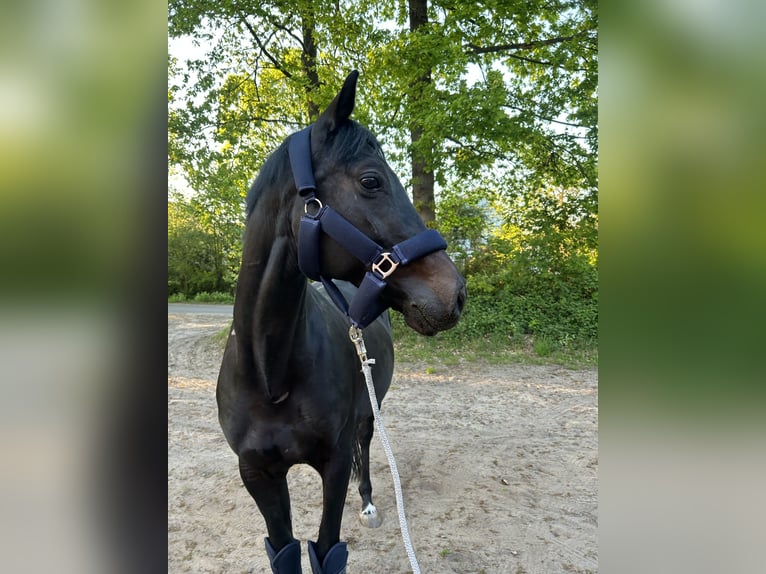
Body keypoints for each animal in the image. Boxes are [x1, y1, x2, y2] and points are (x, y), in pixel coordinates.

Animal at [216, 70, 466, 574]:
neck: (271, 376)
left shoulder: (331, 464)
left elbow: (328, 549)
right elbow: (285, 551)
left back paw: (367, 502)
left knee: (366, 446)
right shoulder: (257, 474)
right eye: (371, 181)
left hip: (370, 409)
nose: (457, 293)